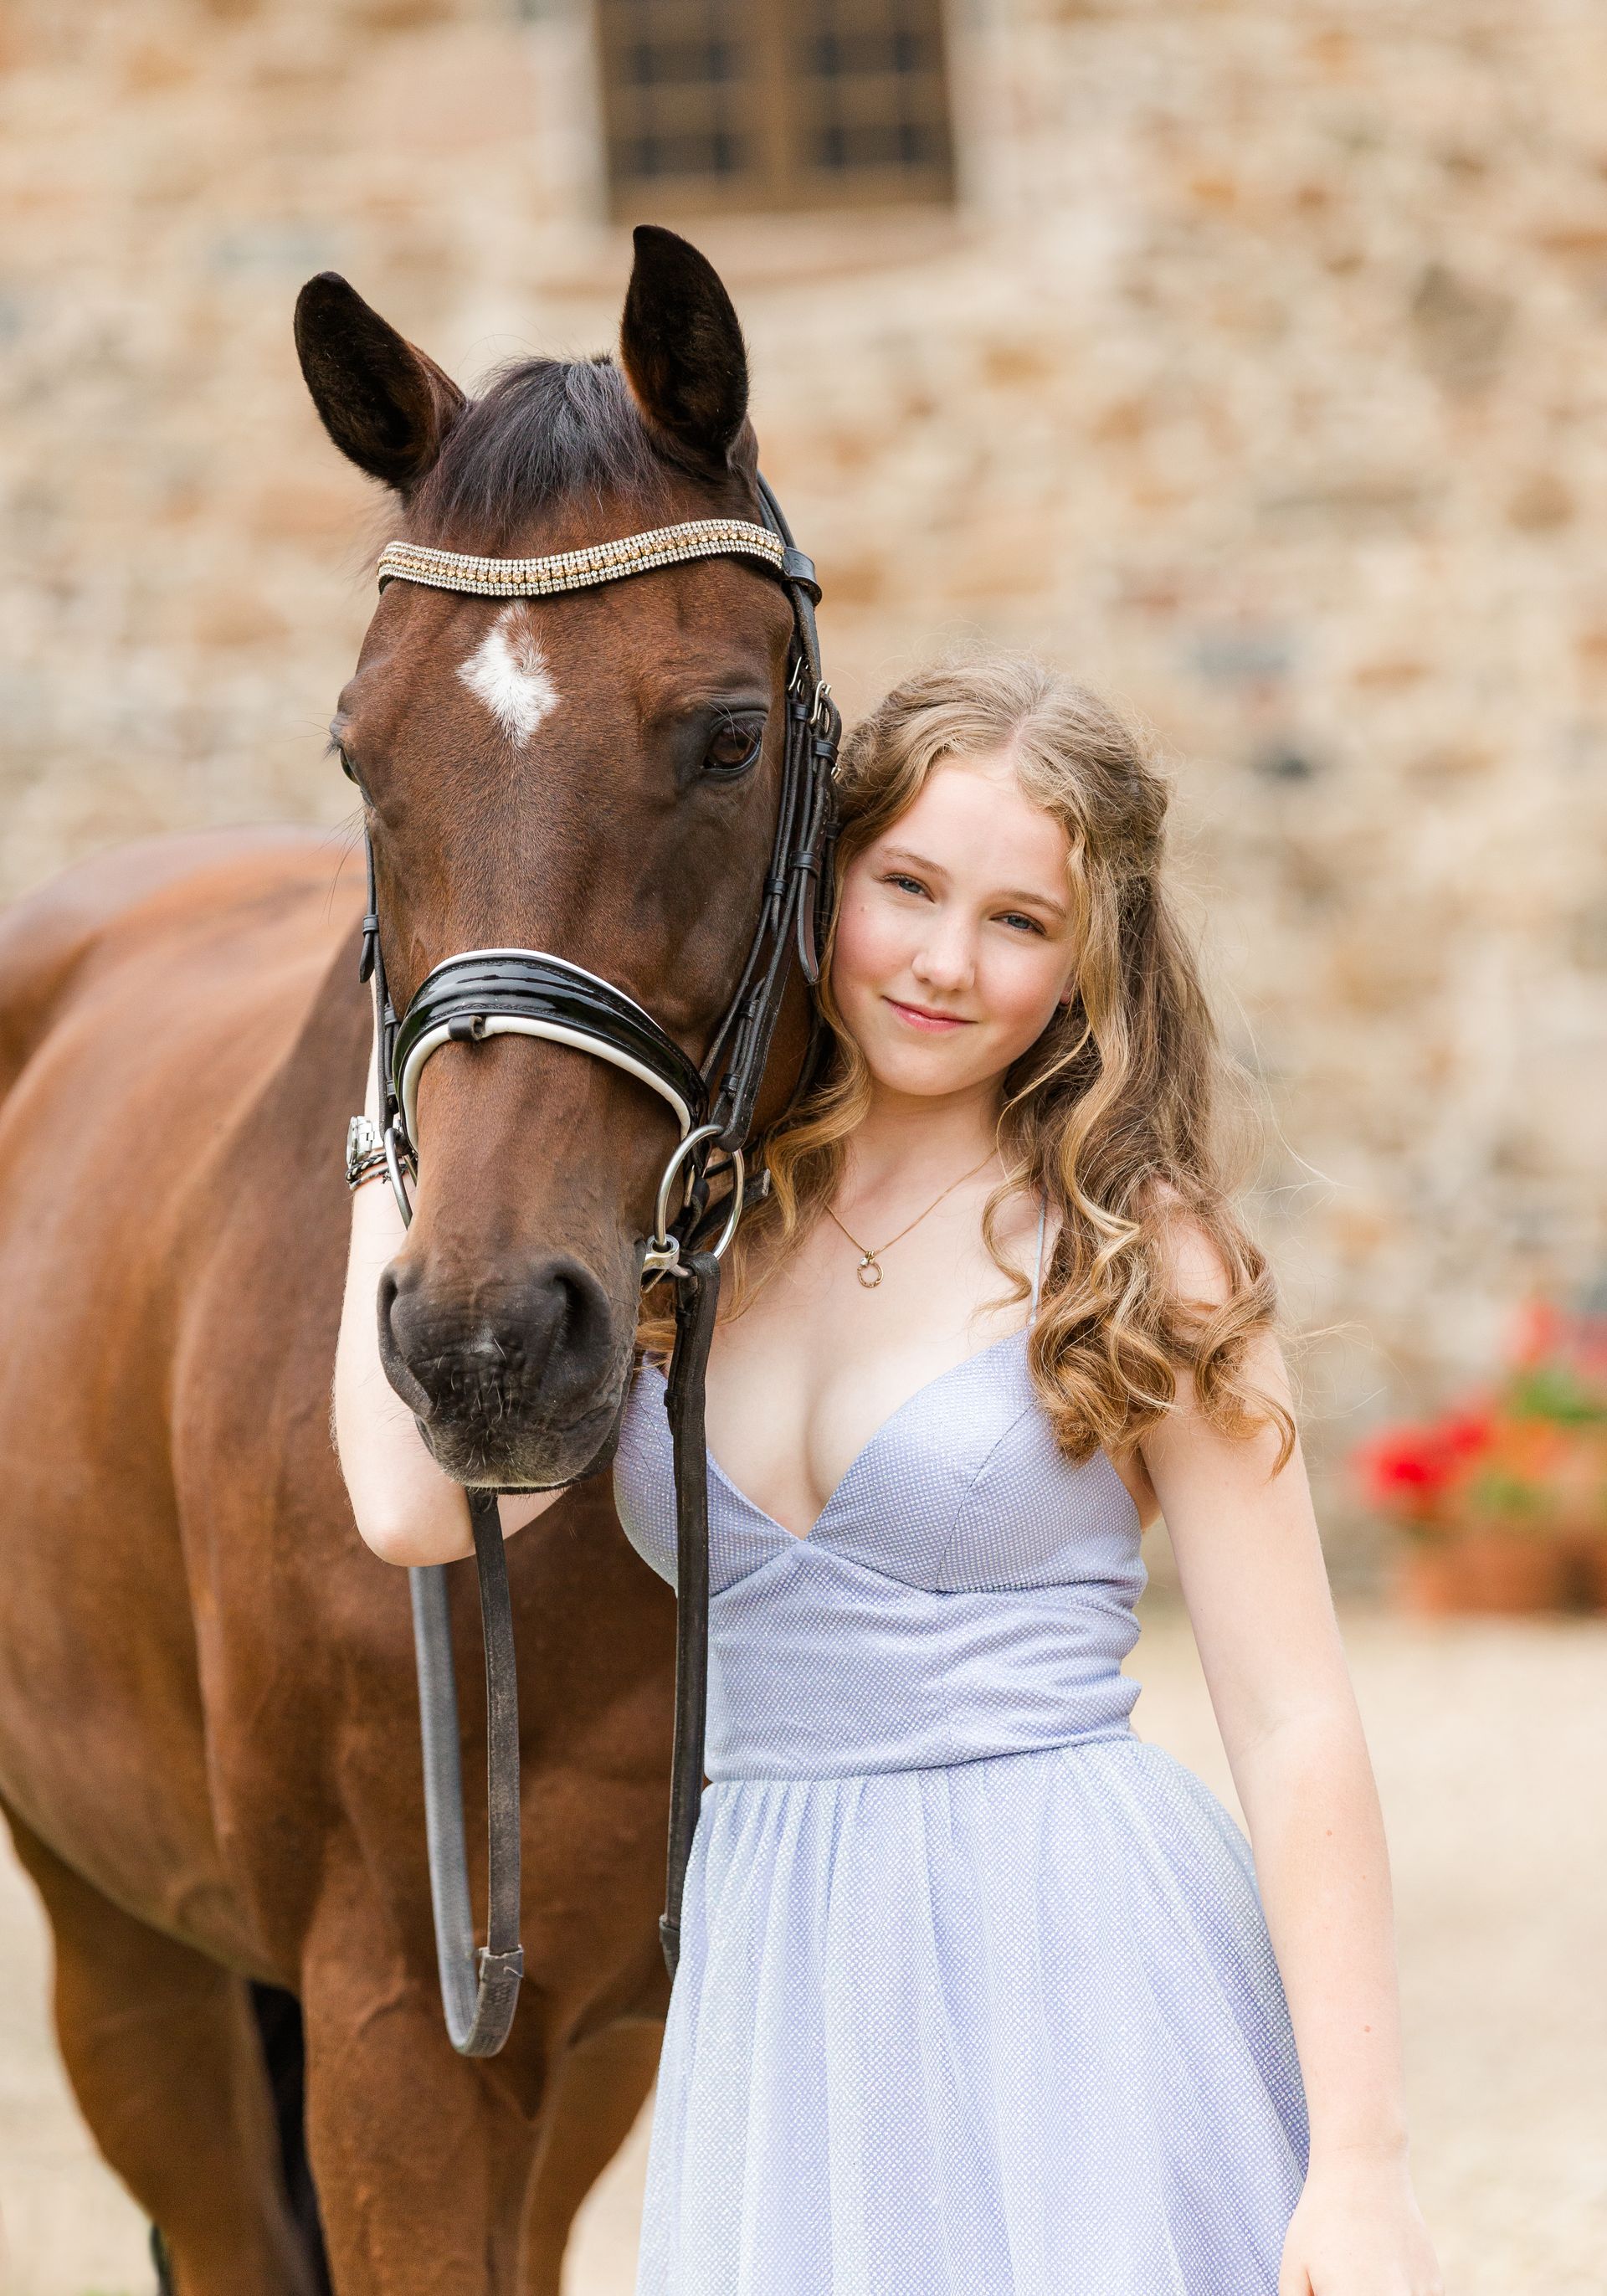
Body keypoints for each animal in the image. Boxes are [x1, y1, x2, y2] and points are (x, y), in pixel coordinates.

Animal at [0, 225, 815, 2293]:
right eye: (360, 752)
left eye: (729, 735)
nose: (485, 1343)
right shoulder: (392, 2027)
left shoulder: (595, 2034)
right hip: (123, 1950)